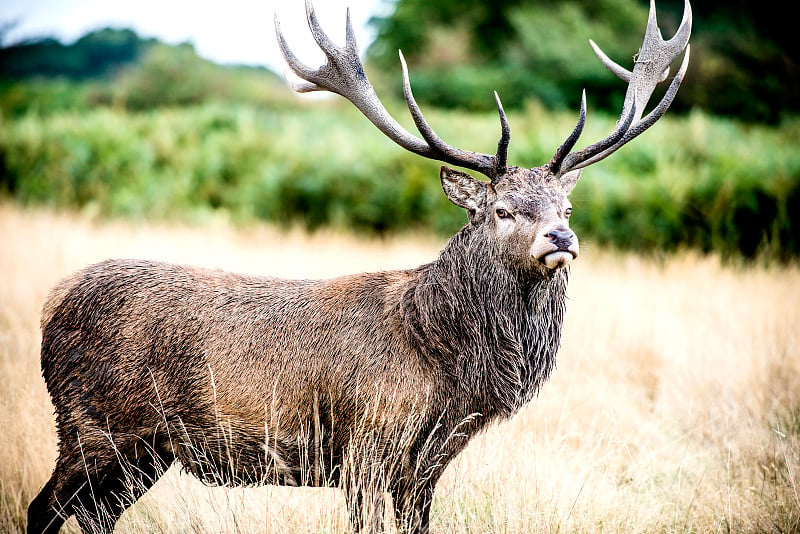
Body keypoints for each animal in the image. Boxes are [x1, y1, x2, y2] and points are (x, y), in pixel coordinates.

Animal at [25, 2, 688, 532]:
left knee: (92, 516)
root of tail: (52, 302)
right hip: (92, 424)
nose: (562, 237)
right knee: (43, 508)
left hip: (144, 451)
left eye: (566, 206)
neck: (447, 362)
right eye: (502, 210)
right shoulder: (367, 447)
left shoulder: (425, 467)